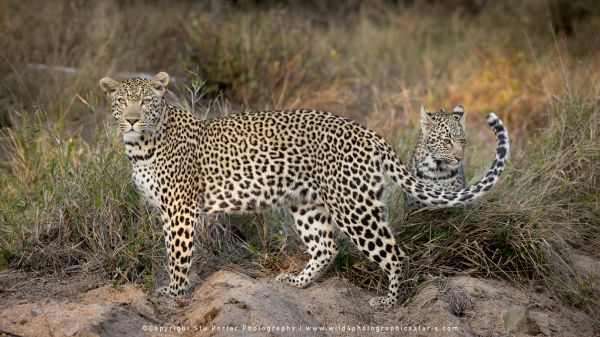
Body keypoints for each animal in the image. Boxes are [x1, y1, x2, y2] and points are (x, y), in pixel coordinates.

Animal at [99, 72, 510, 308]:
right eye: (121, 102)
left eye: (146, 102)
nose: (132, 119)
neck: (140, 144)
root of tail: (370, 133)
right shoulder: (169, 209)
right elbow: (173, 250)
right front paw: (175, 289)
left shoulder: (180, 208)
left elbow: (178, 253)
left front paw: (174, 292)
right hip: (308, 203)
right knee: (326, 247)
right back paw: (296, 281)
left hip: (353, 205)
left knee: (395, 253)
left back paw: (389, 302)